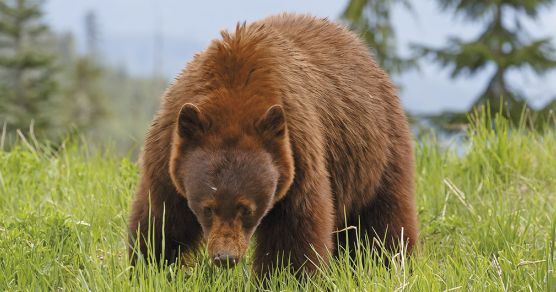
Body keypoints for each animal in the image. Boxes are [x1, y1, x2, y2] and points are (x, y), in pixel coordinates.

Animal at [128, 12, 420, 278]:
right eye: (207, 207)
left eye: (246, 208)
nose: (225, 257)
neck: (233, 98)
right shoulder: (169, 149)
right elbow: (162, 217)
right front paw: (149, 265)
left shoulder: (297, 152)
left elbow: (295, 230)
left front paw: (285, 276)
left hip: (377, 151)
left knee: (383, 219)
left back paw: (389, 262)